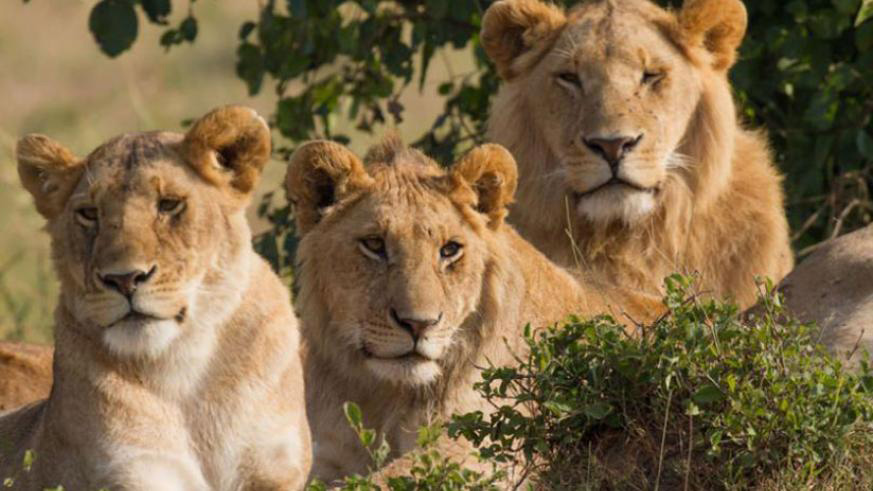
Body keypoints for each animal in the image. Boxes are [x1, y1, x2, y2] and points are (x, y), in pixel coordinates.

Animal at [0, 106, 311, 490]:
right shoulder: (133, 471)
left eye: (169, 204)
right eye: (89, 214)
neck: (186, 371)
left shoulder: (275, 468)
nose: (123, 279)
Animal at [284, 137, 662, 484]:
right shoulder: (325, 453)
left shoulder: (483, 445)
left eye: (450, 250)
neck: (386, 396)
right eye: (374, 245)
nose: (418, 324)